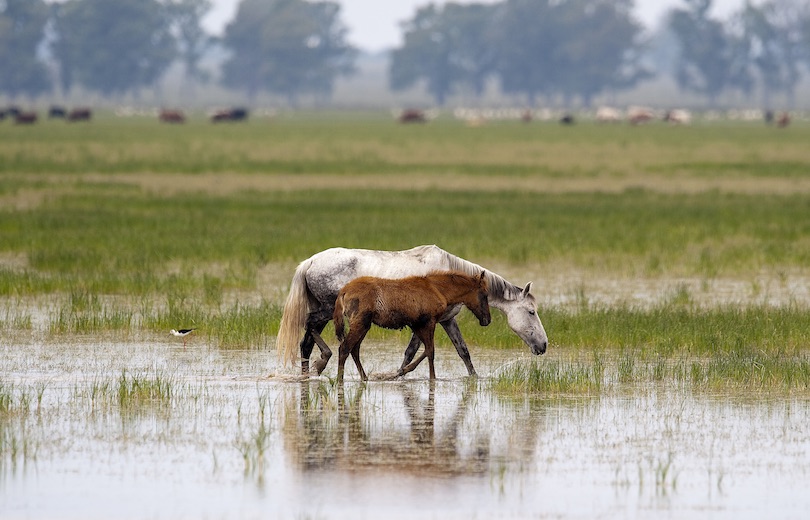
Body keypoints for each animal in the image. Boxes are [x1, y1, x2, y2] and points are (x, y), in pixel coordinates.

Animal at [274, 246, 548, 376]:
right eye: (531, 312)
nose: (543, 345)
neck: (446, 278)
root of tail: (310, 262)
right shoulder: (426, 321)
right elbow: (412, 352)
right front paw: (397, 375)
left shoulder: (446, 320)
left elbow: (463, 352)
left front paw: (475, 378)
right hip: (329, 309)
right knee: (310, 328)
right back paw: (323, 361)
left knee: (306, 342)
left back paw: (310, 372)